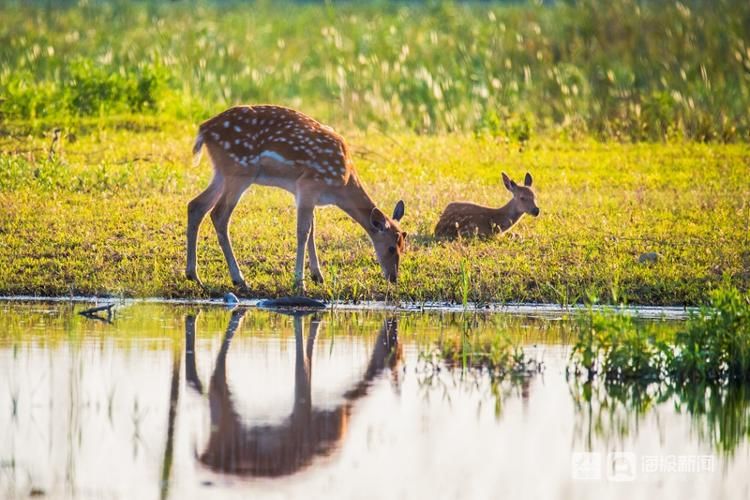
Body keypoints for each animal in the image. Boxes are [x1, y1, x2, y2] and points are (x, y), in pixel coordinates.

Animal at [185, 312, 402, 476]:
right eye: (396, 352)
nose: (393, 332)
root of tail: (204, 458)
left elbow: (307, 360)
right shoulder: (303, 411)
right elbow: (302, 367)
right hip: (225, 415)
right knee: (215, 381)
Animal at [188, 105, 412, 292]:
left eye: (403, 247)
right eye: (391, 247)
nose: (393, 277)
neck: (343, 182)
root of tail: (204, 130)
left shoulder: (303, 192)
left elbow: (312, 229)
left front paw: (317, 276)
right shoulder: (308, 184)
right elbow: (303, 231)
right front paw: (299, 282)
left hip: (222, 172)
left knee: (196, 205)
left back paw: (193, 276)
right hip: (240, 170)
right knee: (218, 214)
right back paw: (239, 279)